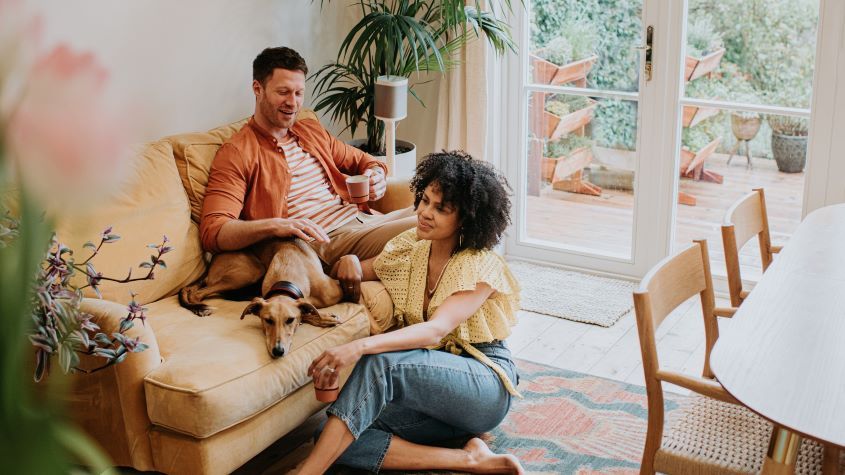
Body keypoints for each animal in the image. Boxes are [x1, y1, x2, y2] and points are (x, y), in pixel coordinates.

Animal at [181, 240, 342, 358]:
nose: (278, 351)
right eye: (268, 320)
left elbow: (305, 311)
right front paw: (324, 317)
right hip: (250, 271)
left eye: (290, 320)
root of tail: (209, 268)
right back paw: (201, 308)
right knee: (197, 294)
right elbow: (308, 311)